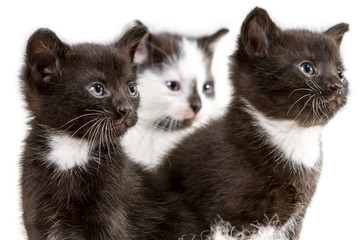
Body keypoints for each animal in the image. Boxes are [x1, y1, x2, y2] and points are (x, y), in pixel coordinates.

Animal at [158, 7, 348, 240]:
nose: (337, 86)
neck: (293, 135)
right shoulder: (230, 219)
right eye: (307, 68)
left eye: (340, 73)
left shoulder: (295, 218)